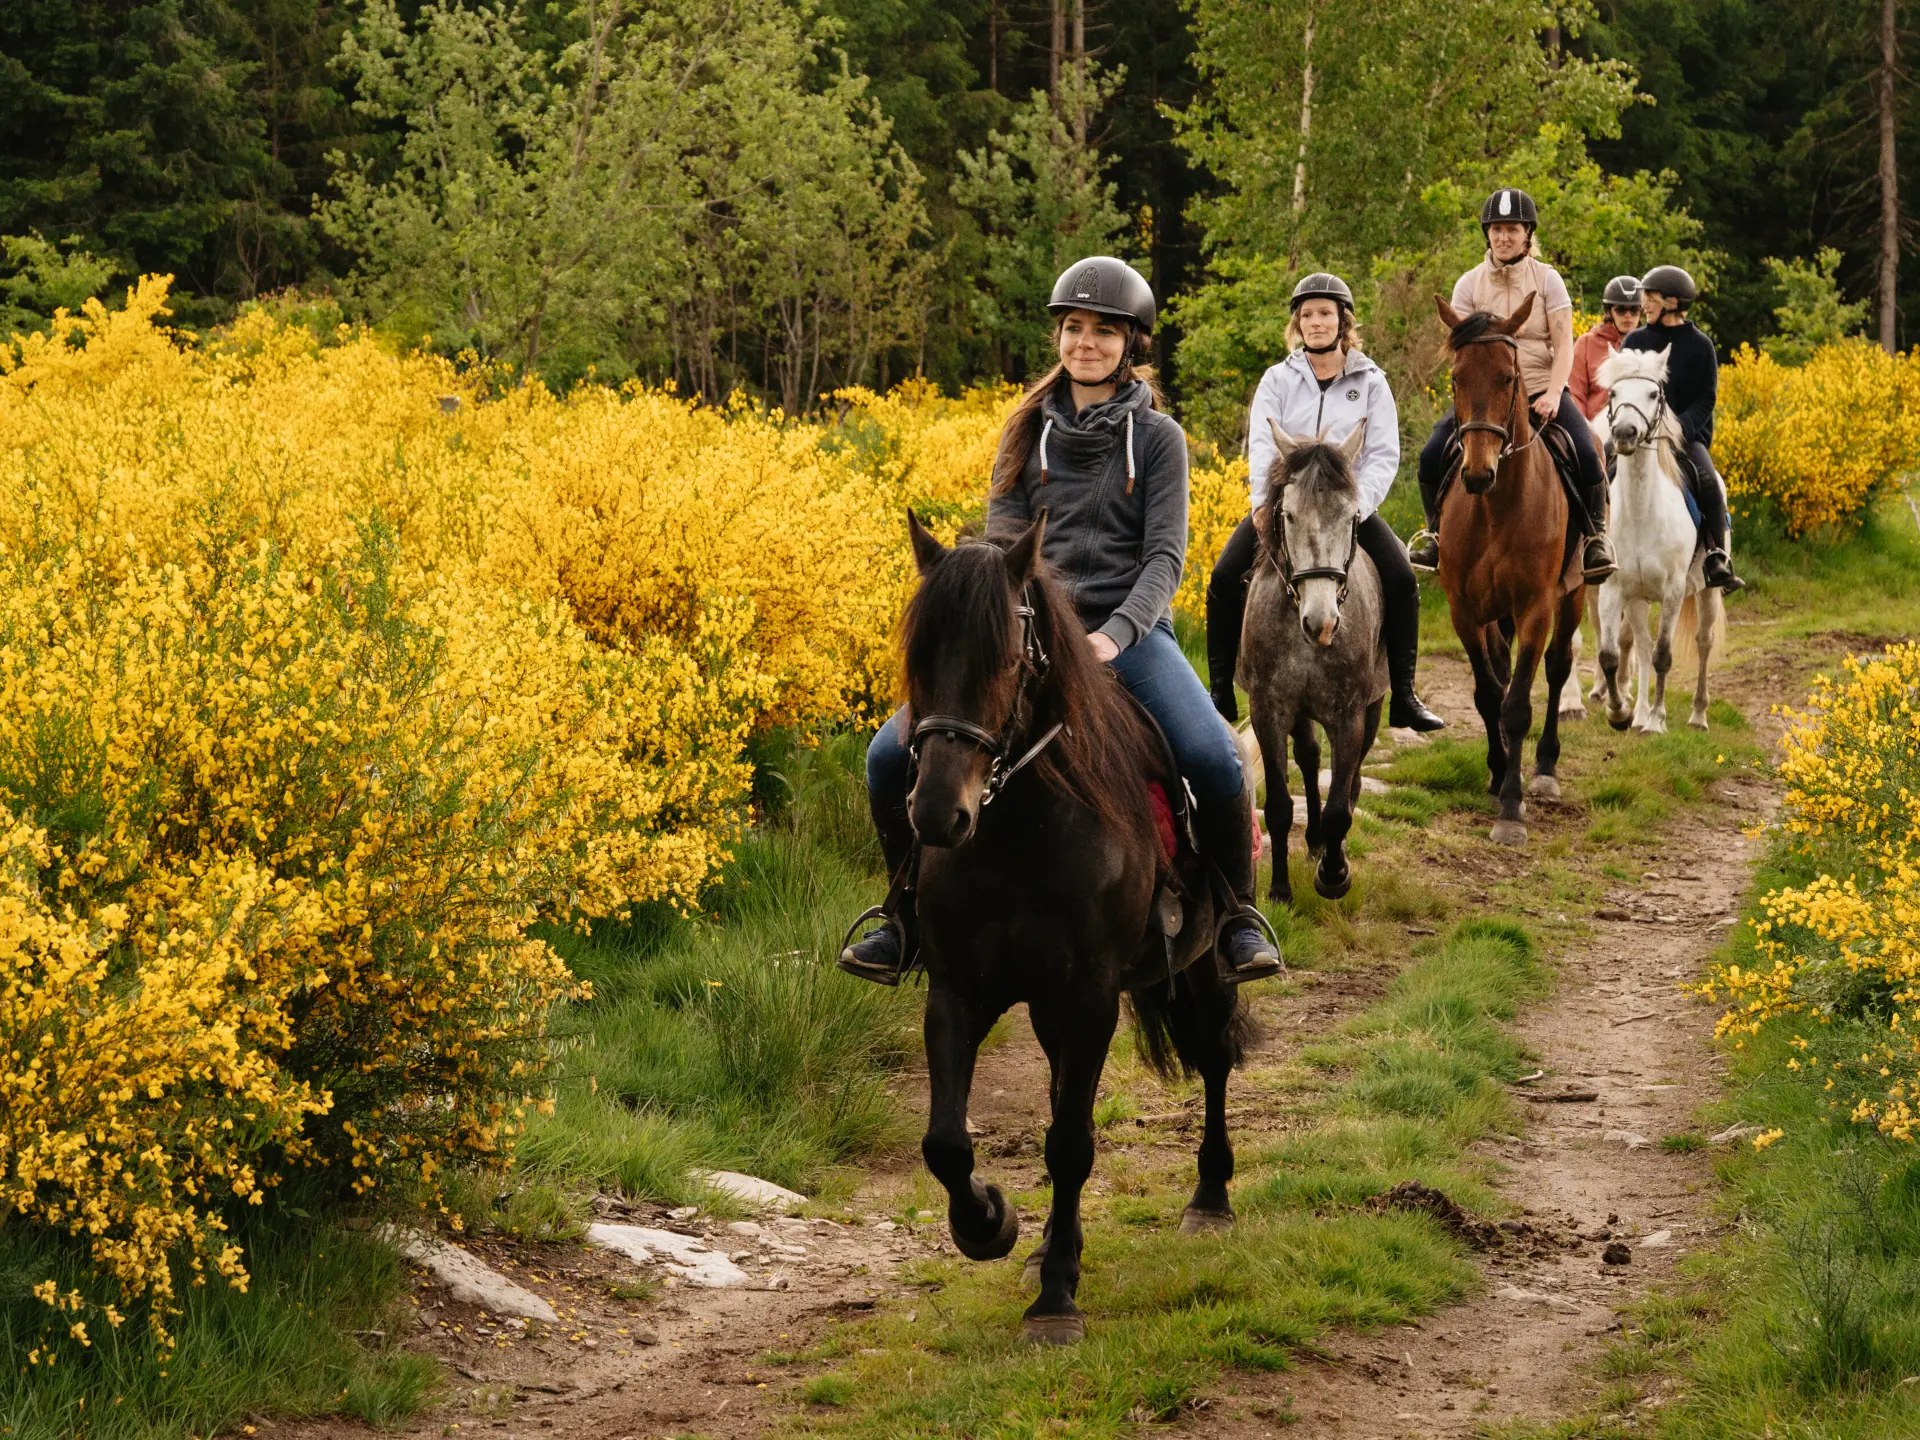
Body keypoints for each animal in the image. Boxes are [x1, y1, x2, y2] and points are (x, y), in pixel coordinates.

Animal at [898, 511, 1255, 1345]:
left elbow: (1069, 1143)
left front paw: (1056, 1298)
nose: (936, 815)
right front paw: (990, 1225)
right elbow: (947, 1142)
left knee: (1215, 1059)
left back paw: (1210, 1200)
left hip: (1203, 969)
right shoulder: (958, 992)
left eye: (1004, 660)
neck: (1018, 832)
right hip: (1049, 1004)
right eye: (918, 655)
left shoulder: (1091, 996)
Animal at [1237, 421, 1386, 903]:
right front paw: (1281, 889)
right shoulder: (1269, 711)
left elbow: (1341, 803)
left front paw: (1334, 875)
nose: (1321, 623)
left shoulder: (1349, 716)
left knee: (1352, 779)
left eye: (1351, 516)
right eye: (1288, 515)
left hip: (1373, 707)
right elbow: (1280, 807)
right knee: (1307, 755)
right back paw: (1314, 840)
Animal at [1432, 295, 1585, 846]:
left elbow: (1518, 704)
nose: (1478, 473)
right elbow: (1487, 694)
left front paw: (1512, 809)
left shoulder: (1536, 608)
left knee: (1558, 668)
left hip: (1574, 594)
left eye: (1506, 377)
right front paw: (1498, 775)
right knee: (1500, 673)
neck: (1497, 508)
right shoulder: (1464, 609)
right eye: (1456, 377)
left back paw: (1544, 770)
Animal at [1591, 348, 1726, 733]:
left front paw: (1657, 720)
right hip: (1638, 599)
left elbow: (1664, 655)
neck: (1641, 514)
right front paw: (1619, 713)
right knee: (1640, 643)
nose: (1624, 432)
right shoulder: (1613, 590)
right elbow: (1611, 654)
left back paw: (1697, 715)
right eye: (1613, 393)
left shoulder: (1673, 592)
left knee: (1703, 642)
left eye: (1653, 394)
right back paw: (1637, 714)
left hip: (1707, 592)